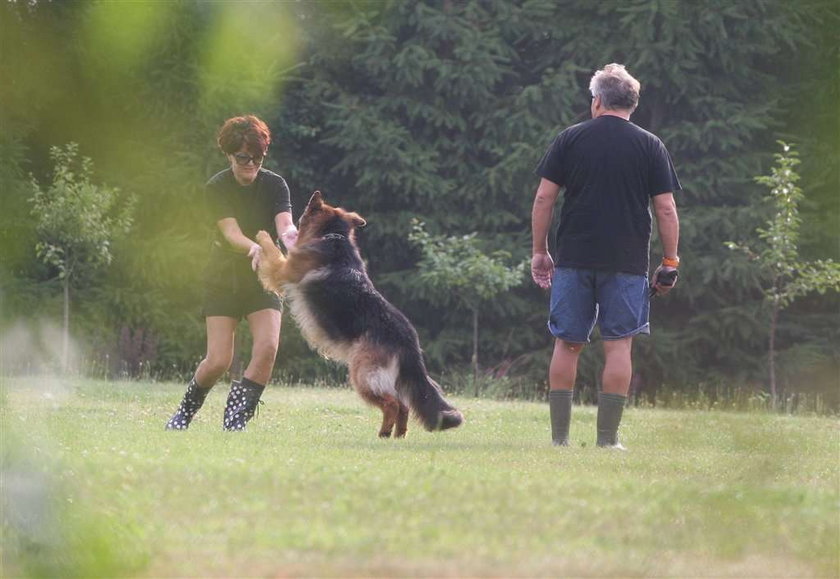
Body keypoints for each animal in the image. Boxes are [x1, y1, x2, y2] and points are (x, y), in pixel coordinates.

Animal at [256, 193, 466, 438]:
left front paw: (262, 235)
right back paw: (398, 436)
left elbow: (272, 252)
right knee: (403, 404)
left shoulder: (282, 270)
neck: (333, 235)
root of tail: (409, 340)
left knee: (392, 403)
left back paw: (384, 434)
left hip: (362, 373)